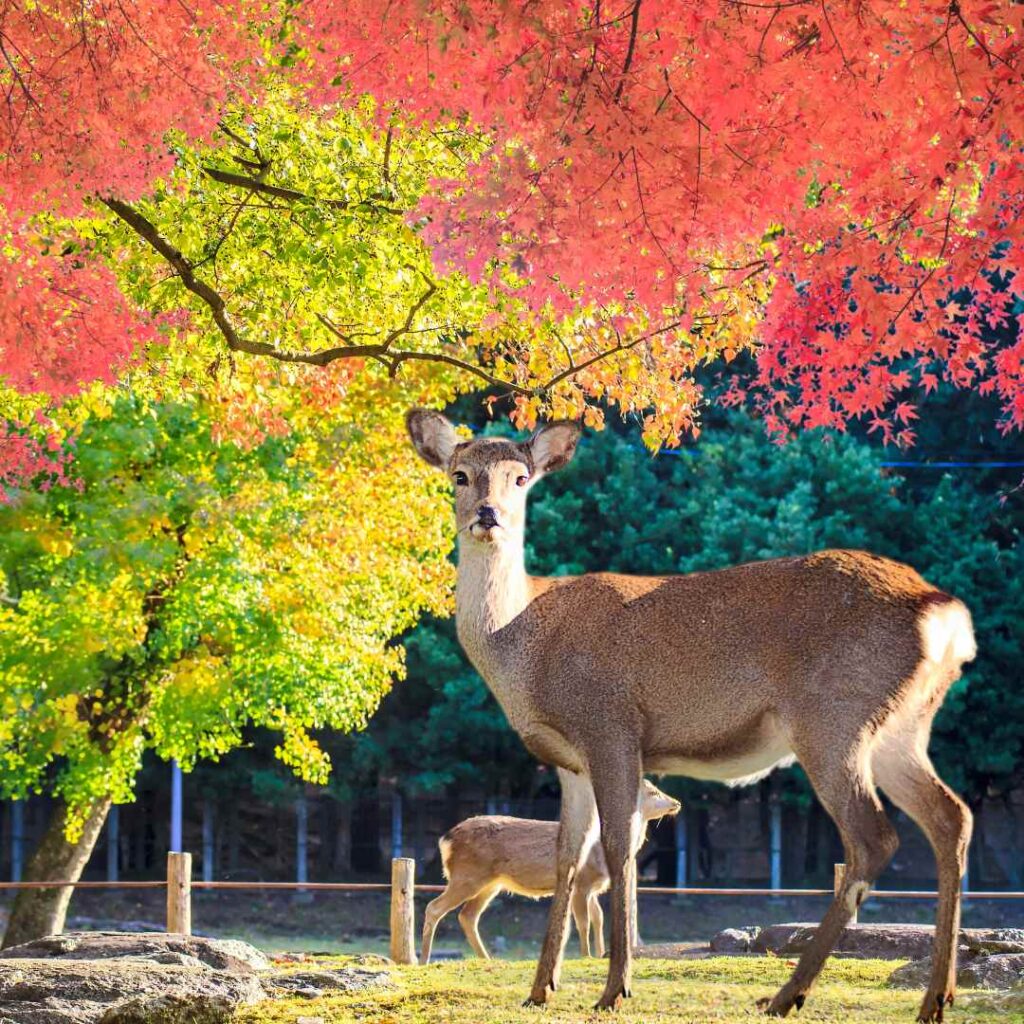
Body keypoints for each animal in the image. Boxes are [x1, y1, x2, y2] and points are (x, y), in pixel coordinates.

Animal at [419, 774, 675, 966]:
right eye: (653, 792)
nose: (676, 803)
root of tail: (445, 840)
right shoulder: (582, 882)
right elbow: (583, 921)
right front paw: (586, 955)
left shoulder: (592, 888)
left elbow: (598, 918)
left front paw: (601, 953)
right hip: (467, 876)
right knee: (434, 907)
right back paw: (423, 960)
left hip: (491, 883)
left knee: (468, 915)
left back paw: (487, 959)